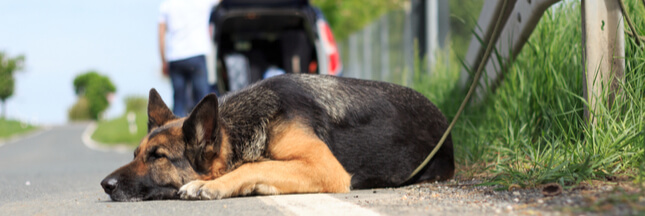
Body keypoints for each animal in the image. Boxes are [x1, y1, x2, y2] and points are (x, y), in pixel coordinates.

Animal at [100, 74, 452, 201]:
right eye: (135, 154)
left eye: (157, 157)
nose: (105, 185)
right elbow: (262, 165)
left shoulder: (326, 167)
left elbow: (254, 165)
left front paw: (212, 185)